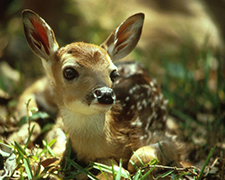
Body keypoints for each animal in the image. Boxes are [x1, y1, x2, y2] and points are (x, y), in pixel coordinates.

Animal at [21, 9, 181, 177]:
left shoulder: (166, 137)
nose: (105, 94)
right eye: (69, 72)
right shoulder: (59, 125)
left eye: (114, 74)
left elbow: (137, 159)